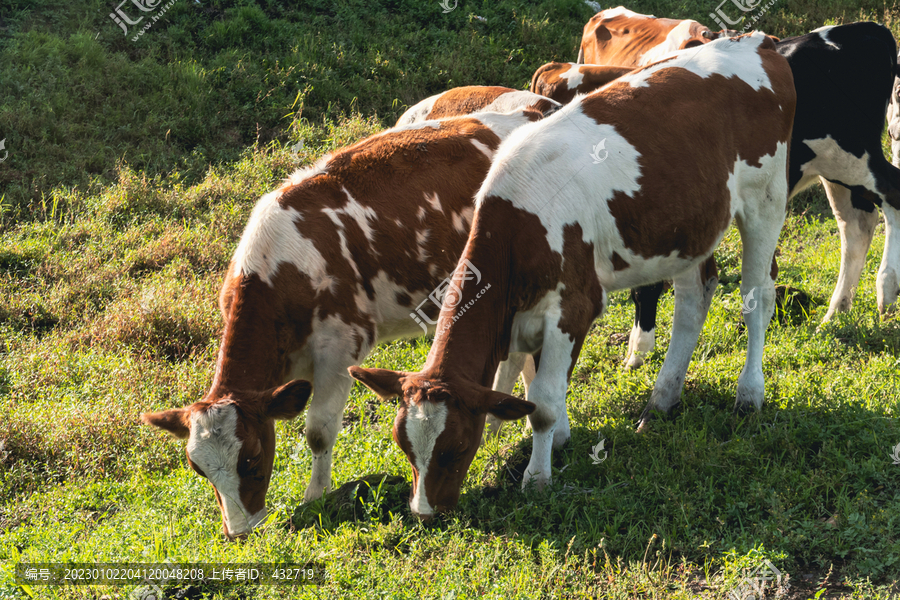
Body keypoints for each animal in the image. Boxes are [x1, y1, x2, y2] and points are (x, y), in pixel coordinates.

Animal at [140, 106, 540, 540]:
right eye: (199, 469)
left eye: (252, 457)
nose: (240, 532)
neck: (278, 269)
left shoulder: (340, 349)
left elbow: (318, 431)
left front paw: (316, 497)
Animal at [624, 22, 900, 370]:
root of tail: (865, 29)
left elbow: (648, 286)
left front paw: (639, 350)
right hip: (833, 166)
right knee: (857, 226)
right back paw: (836, 313)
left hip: (851, 152)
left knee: (893, 194)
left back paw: (887, 287)